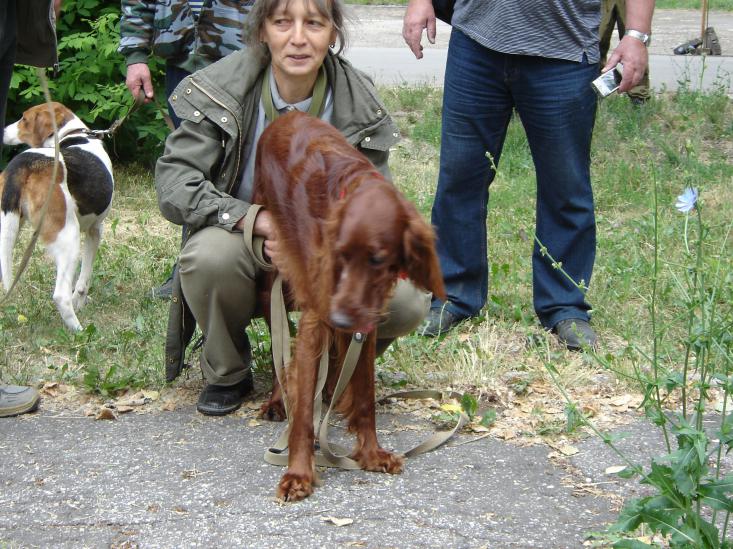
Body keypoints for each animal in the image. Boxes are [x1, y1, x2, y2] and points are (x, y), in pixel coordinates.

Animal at [1, 102, 114, 331]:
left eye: (24, 119)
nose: (3, 131)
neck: (74, 133)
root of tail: (25, 162)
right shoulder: (95, 230)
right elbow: (83, 279)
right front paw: (79, 301)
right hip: (69, 235)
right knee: (61, 295)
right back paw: (79, 331)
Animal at [253, 111, 445, 501]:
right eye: (340, 254)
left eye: (377, 259)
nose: (340, 317)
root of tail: (288, 115)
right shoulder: (317, 318)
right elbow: (304, 412)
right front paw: (298, 473)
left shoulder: (365, 318)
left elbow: (366, 396)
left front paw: (371, 454)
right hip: (270, 269)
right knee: (281, 348)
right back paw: (280, 400)